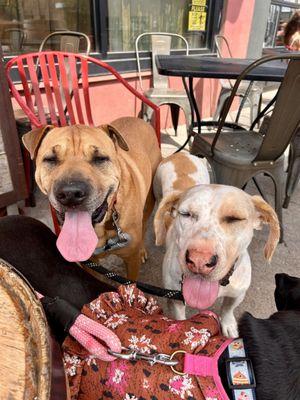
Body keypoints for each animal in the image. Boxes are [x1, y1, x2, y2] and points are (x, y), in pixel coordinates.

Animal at [22, 116, 162, 278]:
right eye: (50, 159)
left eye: (100, 158)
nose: (70, 194)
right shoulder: (91, 264)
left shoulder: (131, 260)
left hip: (149, 203)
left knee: (144, 225)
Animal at [154, 155, 280, 336]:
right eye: (186, 214)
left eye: (234, 218)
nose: (199, 261)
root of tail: (178, 155)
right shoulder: (176, 299)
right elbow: (180, 318)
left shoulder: (238, 293)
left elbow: (227, 309)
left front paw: (228, 325)